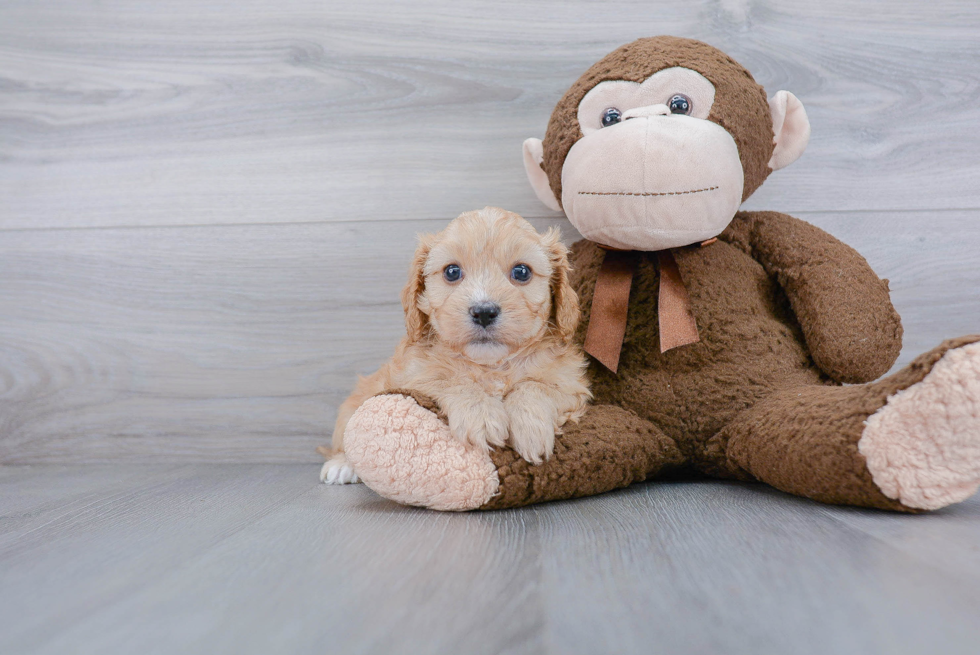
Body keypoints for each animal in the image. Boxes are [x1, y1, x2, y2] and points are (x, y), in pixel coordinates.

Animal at [326, 208, 592, 484]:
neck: (492, 365)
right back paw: (342, 465)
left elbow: (536, 386)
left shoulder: (570, 385)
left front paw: (530, 427)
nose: (484, 312)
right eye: (452, 272)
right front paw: (482, 416)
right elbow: (452, 381)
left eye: (522, 272)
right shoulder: (413, 377)